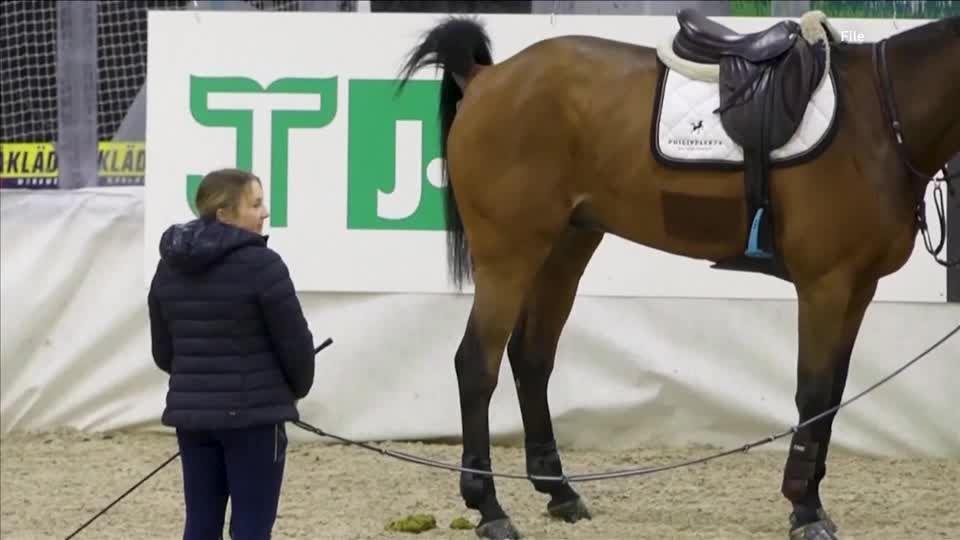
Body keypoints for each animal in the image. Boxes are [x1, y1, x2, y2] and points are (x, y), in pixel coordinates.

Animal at [396, 10, 960, 540]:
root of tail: (489, 79)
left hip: (565, 247)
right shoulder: (826, 284)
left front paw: (812, 501)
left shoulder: (858, 289)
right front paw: (804, 509)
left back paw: (559, 491)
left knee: (531, 359)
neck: (879, 119)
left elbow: (835, 395)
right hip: (508, 255)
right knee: (477, 365)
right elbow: (815, 392)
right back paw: (489, 507)